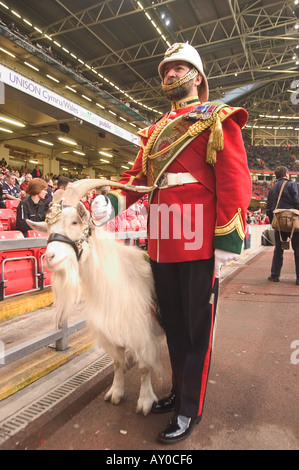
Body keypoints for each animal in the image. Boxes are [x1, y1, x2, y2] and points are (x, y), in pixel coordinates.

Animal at [27, 178, 164, 414]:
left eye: (74, 222)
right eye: (48, 228)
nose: (50, 257)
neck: (117, 278)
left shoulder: (142, 332)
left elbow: (144, 366)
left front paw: (145, 401)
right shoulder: (111, 328)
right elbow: (117, 363)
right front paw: (115, 393)